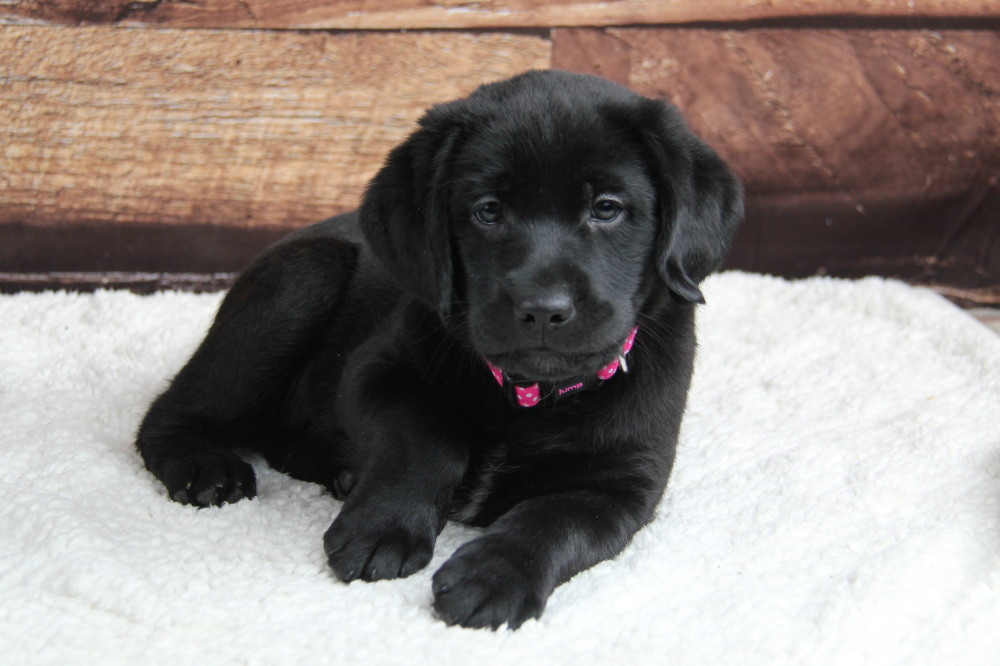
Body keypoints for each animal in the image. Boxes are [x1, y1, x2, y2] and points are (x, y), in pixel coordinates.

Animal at [135, 71, 744, 628]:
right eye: (488, 210)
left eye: (607, 208)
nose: (543, 310)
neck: (529, 397)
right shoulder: (374, 372)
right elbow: (427, 433)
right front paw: (384, 525)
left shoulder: (624, 483)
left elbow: (555, 517)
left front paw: (494, 575)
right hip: (302, 277)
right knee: (167, 414)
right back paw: (206, 466)